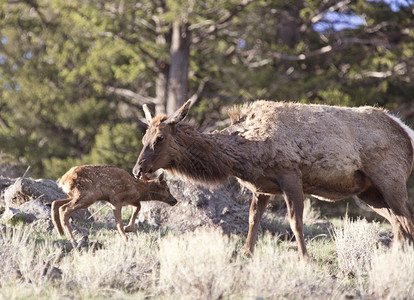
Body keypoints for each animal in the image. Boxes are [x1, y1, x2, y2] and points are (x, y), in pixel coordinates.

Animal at [133, 101, 414, 260]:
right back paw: (393, 256)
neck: (243, 156)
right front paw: (246, 254)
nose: (138, 169)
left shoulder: (290, 175)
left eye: (159, 138)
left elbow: (295, 222)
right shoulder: (261, 187)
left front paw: (304, 258)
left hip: (391, 178)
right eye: (144, 137)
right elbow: (253, 220)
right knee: (398, 222)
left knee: (405, 218)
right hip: (369, 191)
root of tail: (407, 131)